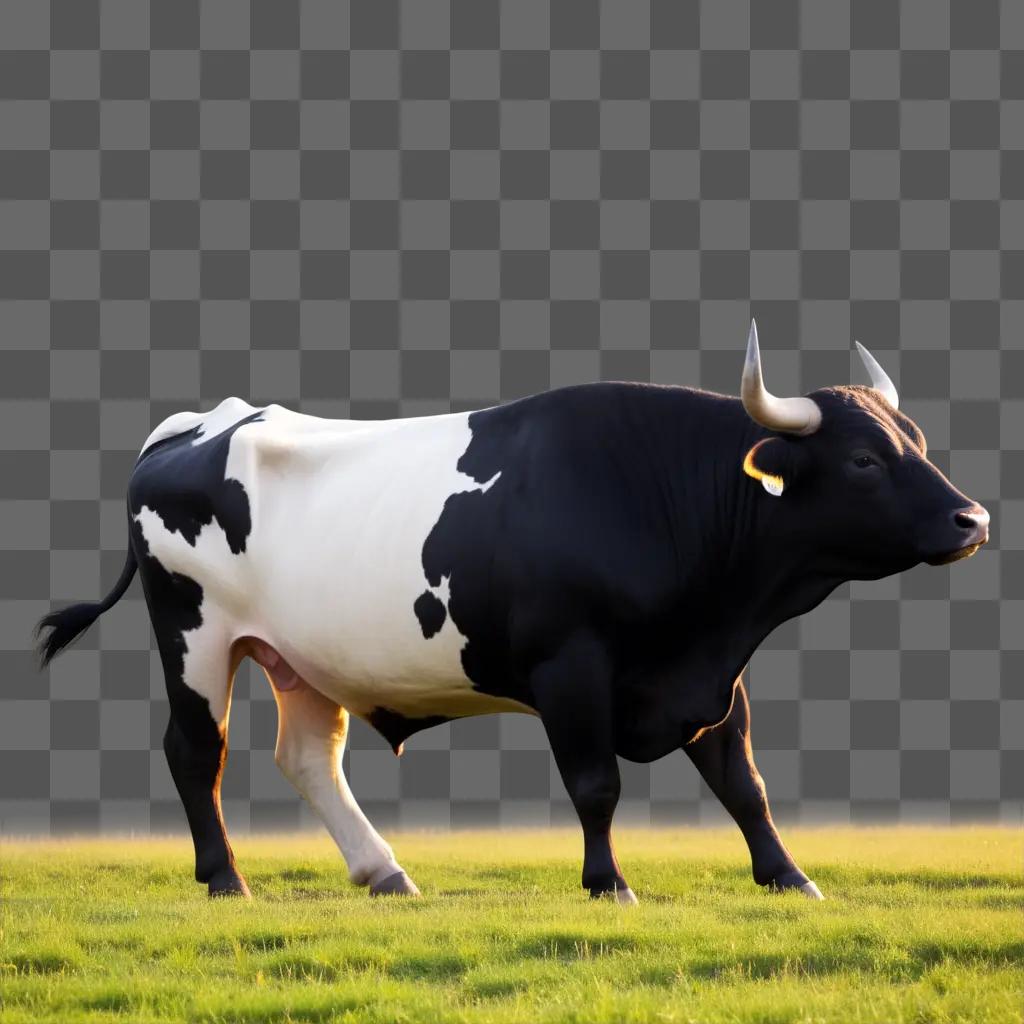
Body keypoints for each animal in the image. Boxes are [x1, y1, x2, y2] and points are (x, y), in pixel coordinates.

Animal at [36, 321, 987, 905]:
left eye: (916, 444)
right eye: (863, 460)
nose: (972, 520)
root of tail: (205, 421)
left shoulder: (709, 668)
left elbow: (741, 782)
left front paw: (789, 879)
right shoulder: (571, 664)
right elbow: (596, 783)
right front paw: (609, 884)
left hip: (303, 656)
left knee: (305, 757)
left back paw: (384, 872)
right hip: (193, 635)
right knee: (197, 752)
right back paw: (225, 878)